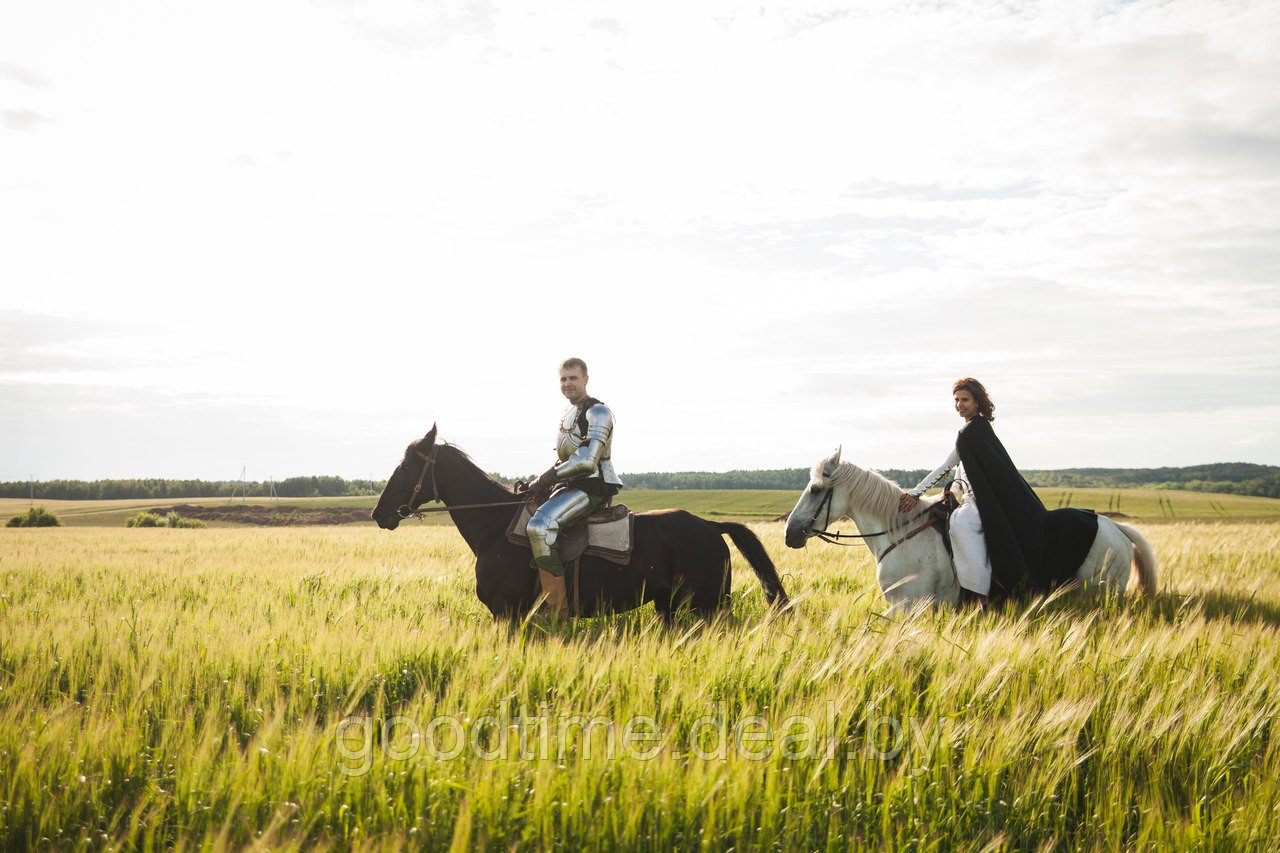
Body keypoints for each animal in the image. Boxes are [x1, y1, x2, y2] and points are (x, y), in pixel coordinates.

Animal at [371, 422, 788, 617]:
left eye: (406, 466)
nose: (379, 513)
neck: (495, 529)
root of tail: (709, 526)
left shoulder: (508, 615)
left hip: (707, 608)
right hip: (669, 608)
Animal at [778, 448, 1162, 607]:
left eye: (816, 489)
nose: (789, 534)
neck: (900, 535)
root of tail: (1114, 527)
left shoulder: (907, 607)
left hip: (1099, 592)